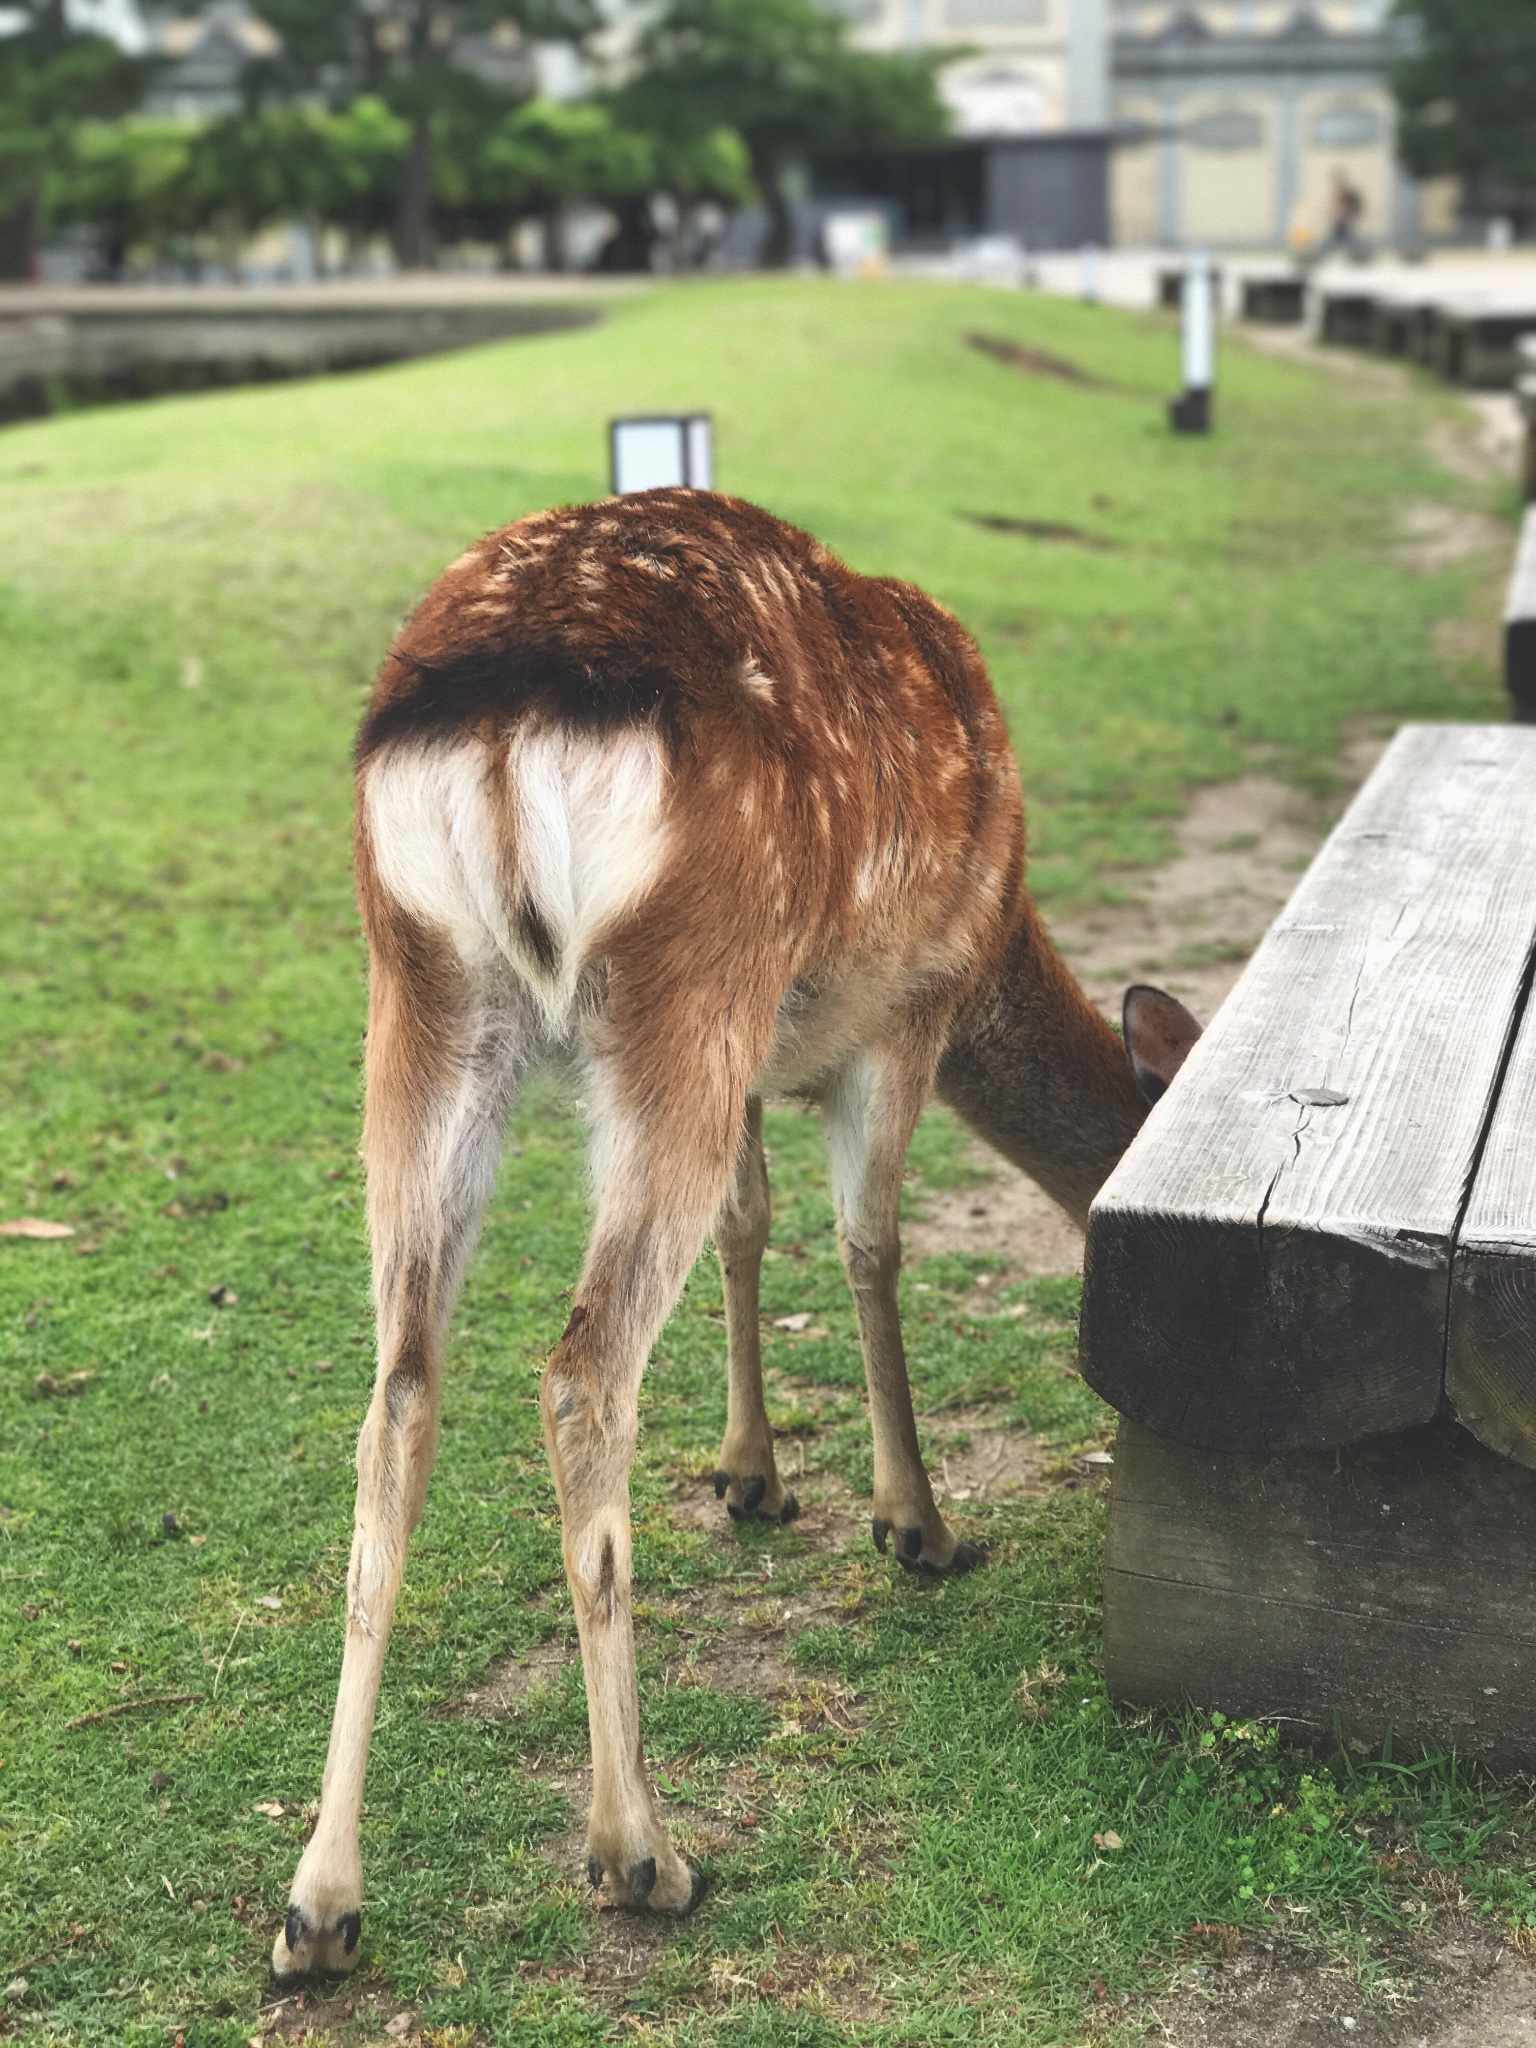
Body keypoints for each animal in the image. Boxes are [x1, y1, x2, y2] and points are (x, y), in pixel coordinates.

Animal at [270, 487, 1204, 1974]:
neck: (1003, 934)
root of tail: (494, 725)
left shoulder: (768, 1048)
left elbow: (750, 1227)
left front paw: (752, 1472)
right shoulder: (905, 1007)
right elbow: (870, 1246)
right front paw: (916, 1522)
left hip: (422, 995)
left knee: (401, 1383)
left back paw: (320, 1899)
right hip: (689, 973)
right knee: (582, 1369)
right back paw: (638, 1850)